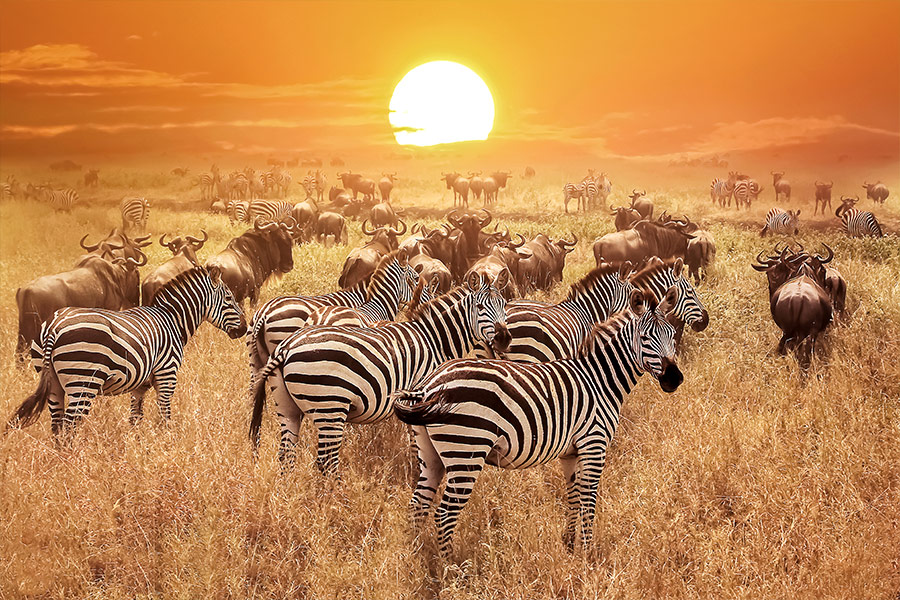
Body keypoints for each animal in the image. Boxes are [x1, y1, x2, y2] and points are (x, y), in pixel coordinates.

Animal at [7, 266, 247, 436]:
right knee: (69, 427)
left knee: (56, 426)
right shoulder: (167, 375)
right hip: (83, 382)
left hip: (53, 382)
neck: (172, 320)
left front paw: (138, 448)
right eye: (229, 299)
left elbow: (135, 418)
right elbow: (164, 416)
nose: (245, 328)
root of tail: (54, 327)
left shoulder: (140, 385)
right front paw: (166, 445)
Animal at [248, 273, 510, 474]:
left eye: (505, 306)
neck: (433, 339)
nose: (504, 339)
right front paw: (415, 470)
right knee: (326, 461)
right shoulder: (418, 398)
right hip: (330, 405)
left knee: (286, 453)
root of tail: (286, 347)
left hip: (287, 405)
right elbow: (415, 443)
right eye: (480, 307)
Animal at [394, 286, 682, 559]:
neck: (599, 379)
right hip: (466, 449)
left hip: (431, 454)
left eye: (672, 335)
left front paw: (569, 545)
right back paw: (452, 569)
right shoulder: (594, 444)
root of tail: (428, 386)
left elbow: (573, 497)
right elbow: (588, 501)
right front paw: (588, 554)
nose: (674, 379)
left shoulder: (570, 452)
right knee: (444, 514)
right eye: (645, 338)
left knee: (417, 506)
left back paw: (419, 558)